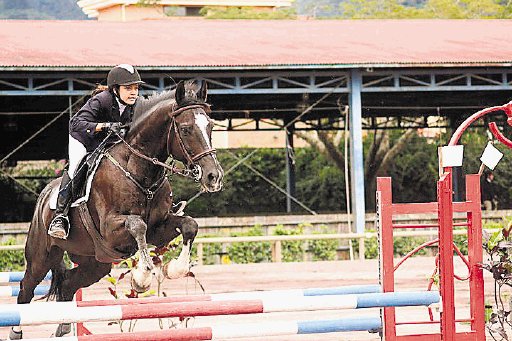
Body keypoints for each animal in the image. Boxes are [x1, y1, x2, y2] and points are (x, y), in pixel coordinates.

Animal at [8, 79, 224, 338]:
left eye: (210, 126)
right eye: (185, 129)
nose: (214, 177)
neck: (140, 171)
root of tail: (43, 196)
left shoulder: (159, 228)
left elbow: (190, 225)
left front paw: (175, 269)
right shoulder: (111, 229)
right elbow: (137, 225)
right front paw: (142, 277)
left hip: (95, 262)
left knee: (68, 284)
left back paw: (64, 327)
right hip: (42, 256)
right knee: (26, 288)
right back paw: (16, 332)